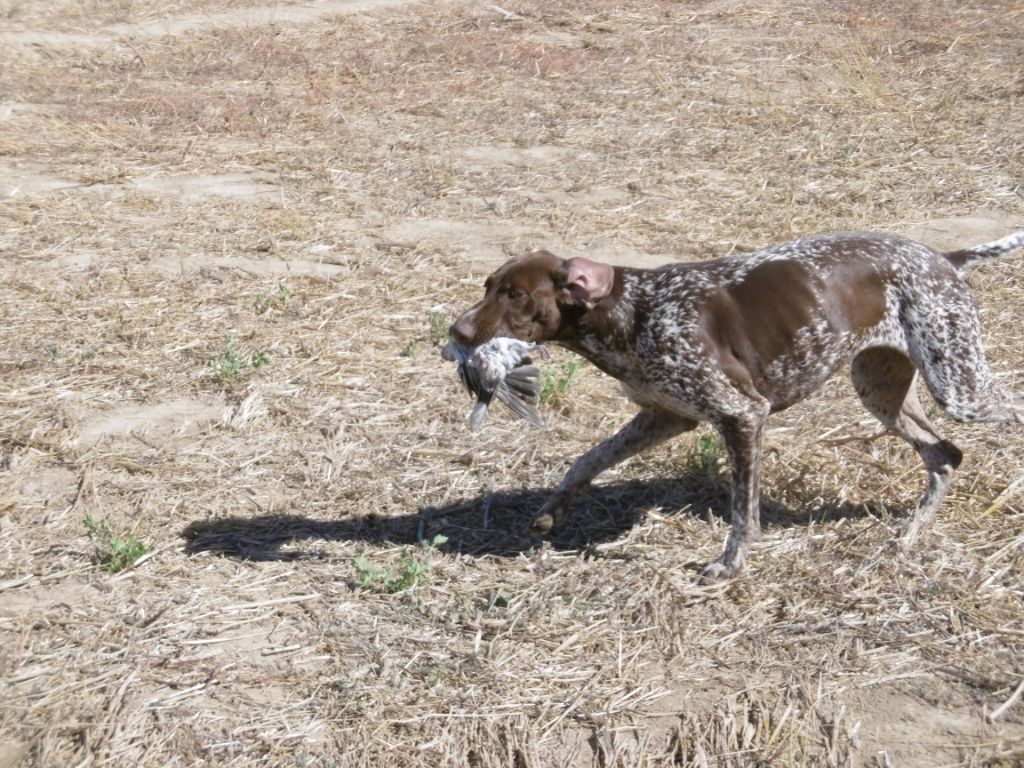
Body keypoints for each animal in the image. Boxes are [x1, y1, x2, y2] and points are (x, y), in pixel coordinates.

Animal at [448, 231, 1024, 585]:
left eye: (515, 294)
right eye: (488, 286)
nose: (457, 331)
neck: (634, 311)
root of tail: (943, 257)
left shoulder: (742, 415)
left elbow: (742, 511)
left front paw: (729, 567)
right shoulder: (665, 417)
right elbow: (585, 461)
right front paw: (552, 511)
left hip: (960, 387)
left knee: (1000, 416)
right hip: (882, 390)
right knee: (944, 455)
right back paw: (908, 535)